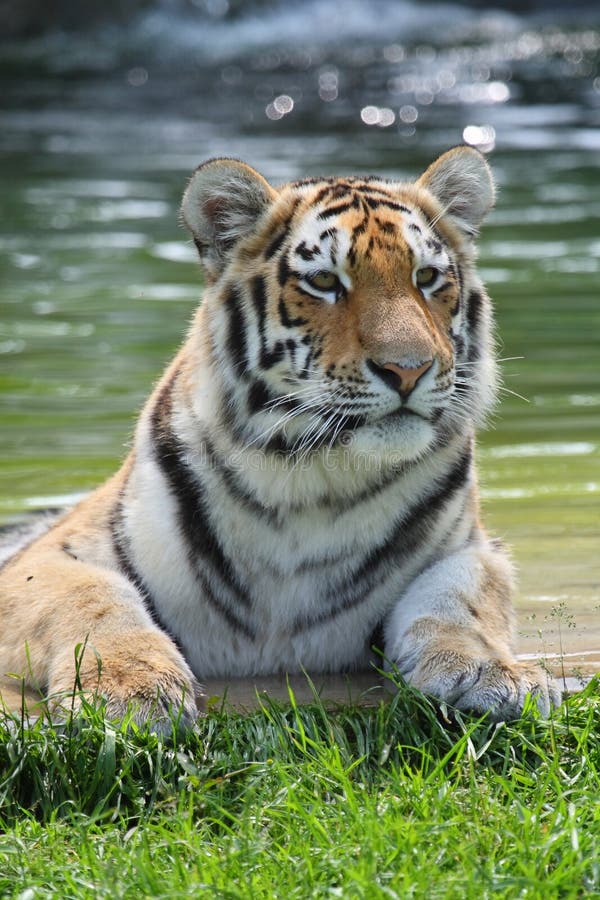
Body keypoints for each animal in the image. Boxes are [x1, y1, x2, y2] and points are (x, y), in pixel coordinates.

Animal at [0, 146, 561, 728]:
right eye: (325, 282)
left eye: (426, 276)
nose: (408, 370)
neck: (307, 476)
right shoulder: (48, 557)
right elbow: (94, 600)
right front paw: (128, 688)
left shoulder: (473, 548)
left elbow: (460, 600)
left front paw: (489, 673)